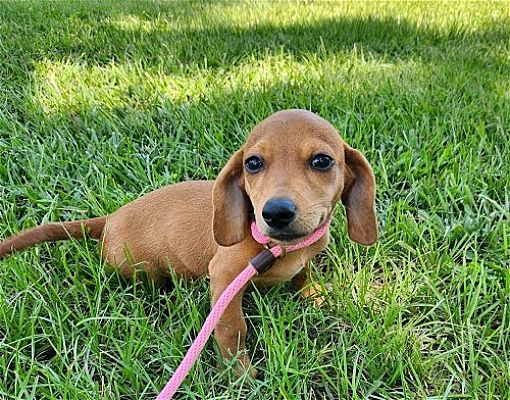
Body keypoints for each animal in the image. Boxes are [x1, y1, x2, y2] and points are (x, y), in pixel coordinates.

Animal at [0, 110, 376, 378]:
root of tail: (109, 219)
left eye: (322, 160)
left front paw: (312, 294)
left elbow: (302, 274)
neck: (280, 248)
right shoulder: (225, 276)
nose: (276, 212)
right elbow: (232, 329)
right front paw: (239, 374)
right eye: (253, 163)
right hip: (139, 268)